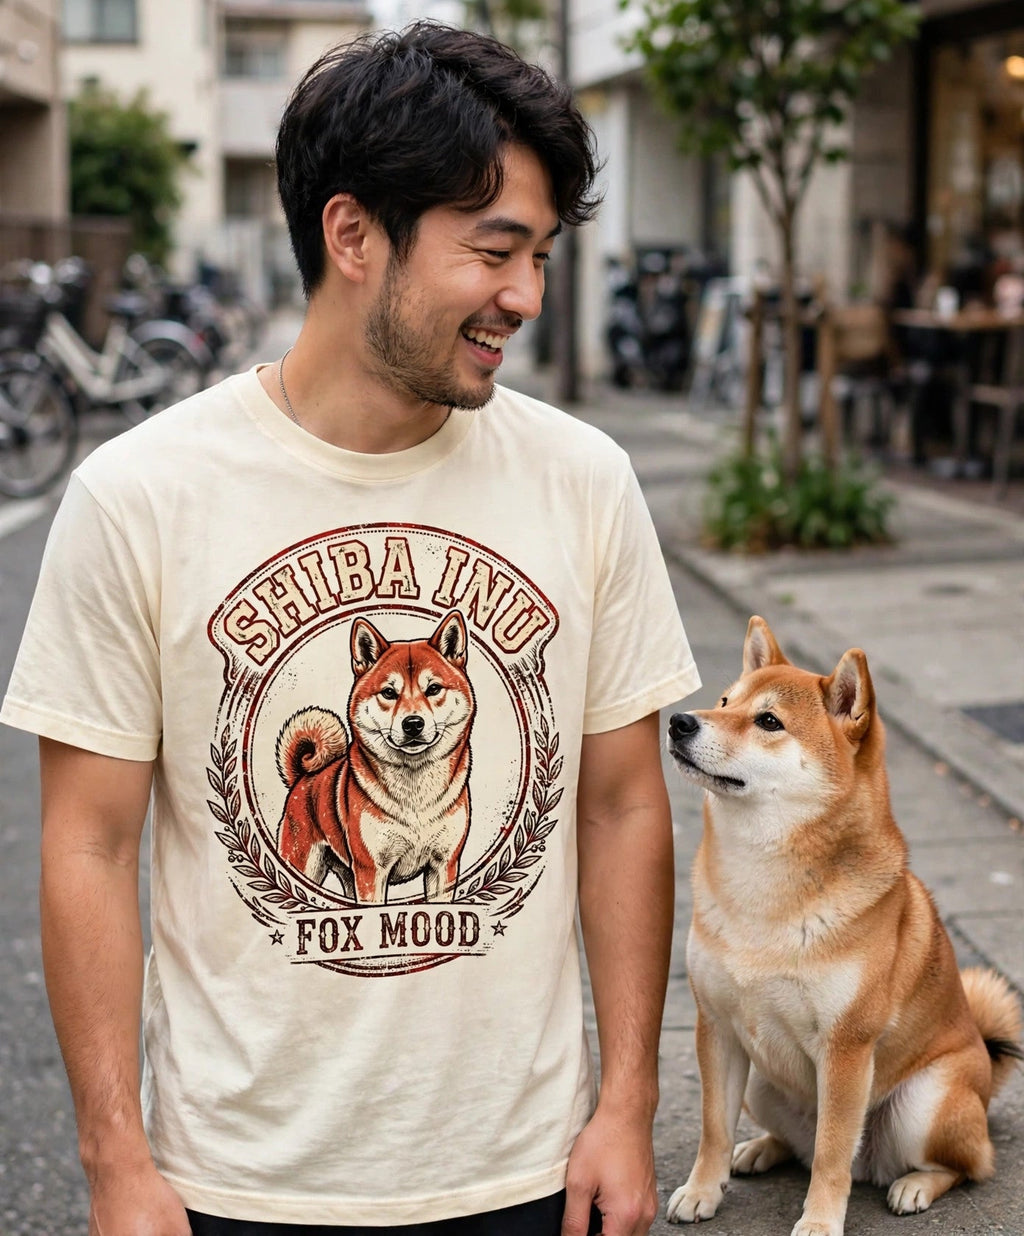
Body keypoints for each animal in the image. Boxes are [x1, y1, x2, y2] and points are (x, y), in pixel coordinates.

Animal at [276, 610, 475, 905]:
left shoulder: (443, 866)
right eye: (389, 693)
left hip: (347, 874)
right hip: (305, 864)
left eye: (434, 689)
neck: (415, 797)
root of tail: (303, 778)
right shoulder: (371, 870)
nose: (413, 724)